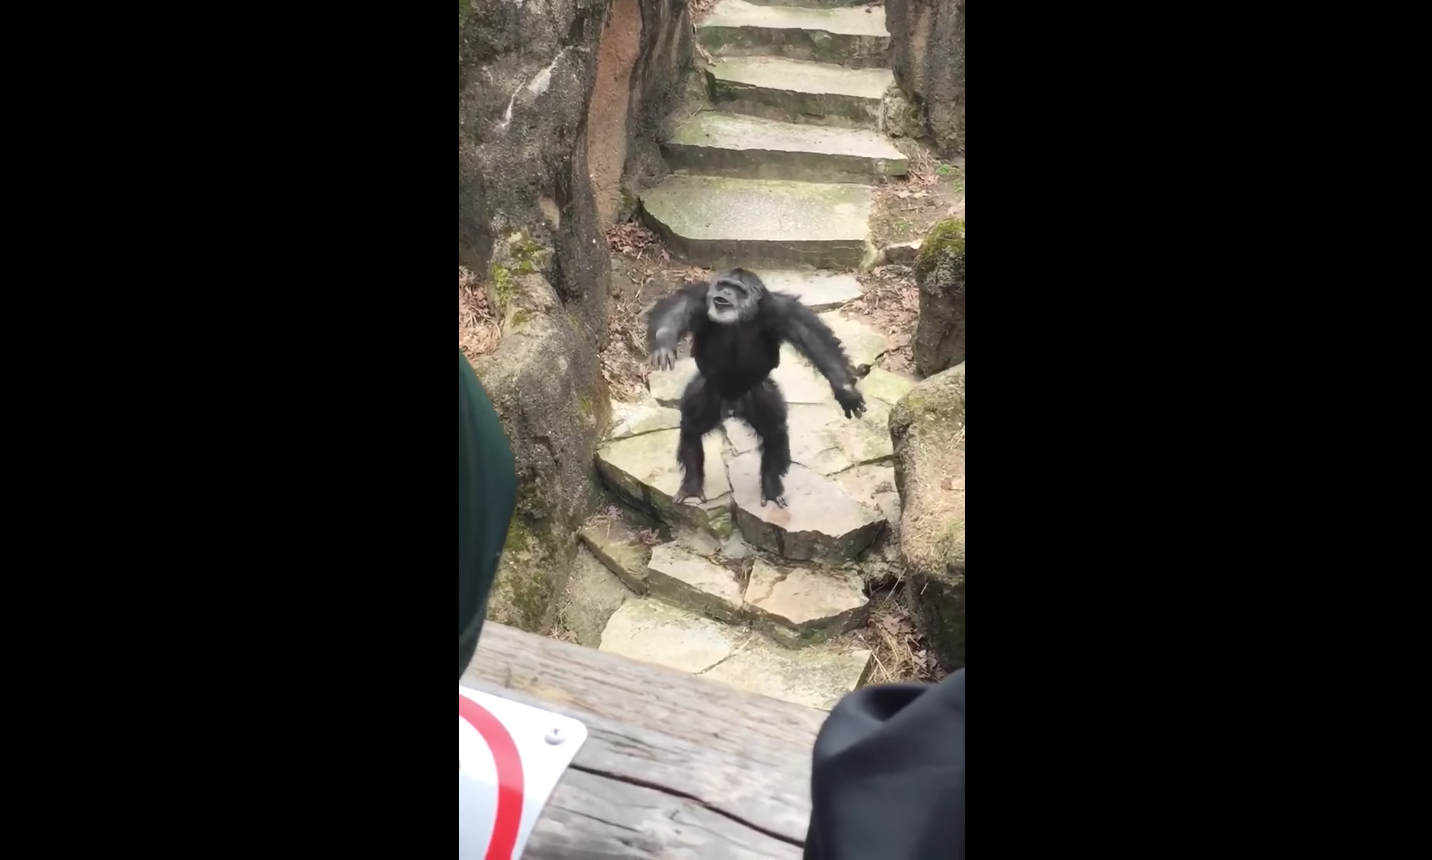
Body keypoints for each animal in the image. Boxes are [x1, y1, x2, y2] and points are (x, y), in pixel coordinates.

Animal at [647, 268, 866, 508]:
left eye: (737, 289)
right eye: (723, 284)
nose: (725, 292)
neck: (739, 319)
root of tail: (732, 406)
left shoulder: (782, 312)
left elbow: (811, 337)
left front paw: (845, 389)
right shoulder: (700, 299)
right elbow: (679, 308)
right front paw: (664, 341)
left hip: (760, 395)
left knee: (774, 433)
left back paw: (771, 489)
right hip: (707, 393)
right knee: (692, 428)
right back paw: (692, 485)